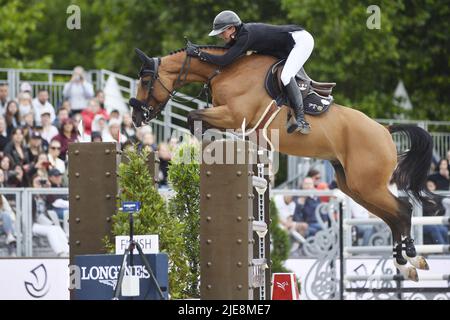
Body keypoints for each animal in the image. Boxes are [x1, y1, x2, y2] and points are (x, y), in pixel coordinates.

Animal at [131, 45, 440, 280]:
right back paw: (407, 264)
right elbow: (197, 119)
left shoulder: (232, 114)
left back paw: (411, 259)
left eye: (145, 81)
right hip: (354, 187)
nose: (136, 117)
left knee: (402, 211)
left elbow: (194, 117)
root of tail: (385, 130)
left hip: (367, 185)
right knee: (393, 216)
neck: (225, 70)